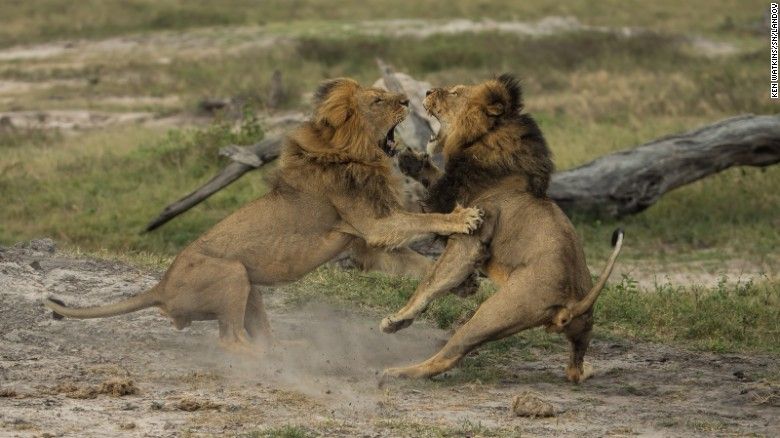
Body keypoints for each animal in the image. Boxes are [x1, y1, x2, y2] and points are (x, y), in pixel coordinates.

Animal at [44, 78, 484, 350]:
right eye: (378, 101)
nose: (408, 101)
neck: (354, 154)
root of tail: (160, 287)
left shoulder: (364, 245)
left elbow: (418, 265)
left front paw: (463, 284)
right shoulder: (373, 224)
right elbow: (418, 222)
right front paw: (462, 218)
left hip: (249, 285)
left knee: (255, 334)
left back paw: (286, 347)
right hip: (231, 273)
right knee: (231, 342)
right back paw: (269, 362)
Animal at [379, 74, 624, 383]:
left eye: (455, 92)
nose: (428, 91)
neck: (481, 144)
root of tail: (572, 303)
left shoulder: (470, 238)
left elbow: (431, 282)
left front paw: (398, 319)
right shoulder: (453, 198)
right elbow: (434, 178)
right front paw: (410, 160)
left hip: (493, 313)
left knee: (449, 355)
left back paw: (398, 372)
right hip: (581, 330)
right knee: (575, 369)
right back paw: (585, 369)